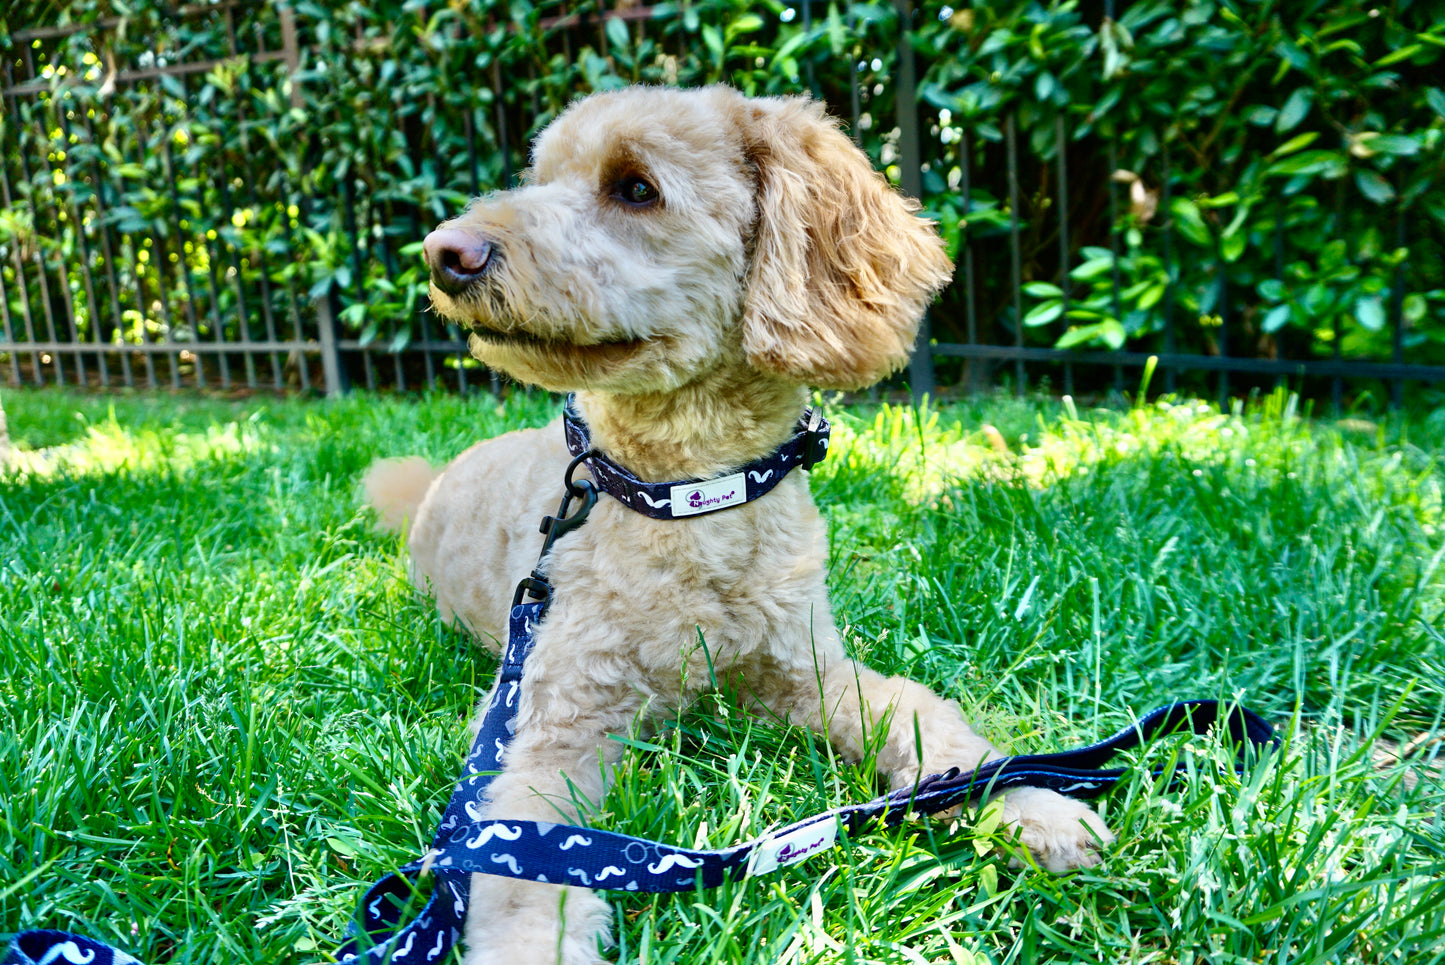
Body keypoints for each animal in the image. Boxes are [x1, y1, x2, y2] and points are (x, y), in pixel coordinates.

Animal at [367, 86, 1109, 959]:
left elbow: (930, 726)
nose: (444, 252)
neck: (693, 495)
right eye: (540, 177)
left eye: (635, 189)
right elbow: (524, 868)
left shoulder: (809, 670)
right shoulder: (554, 725)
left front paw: (1031, 803)